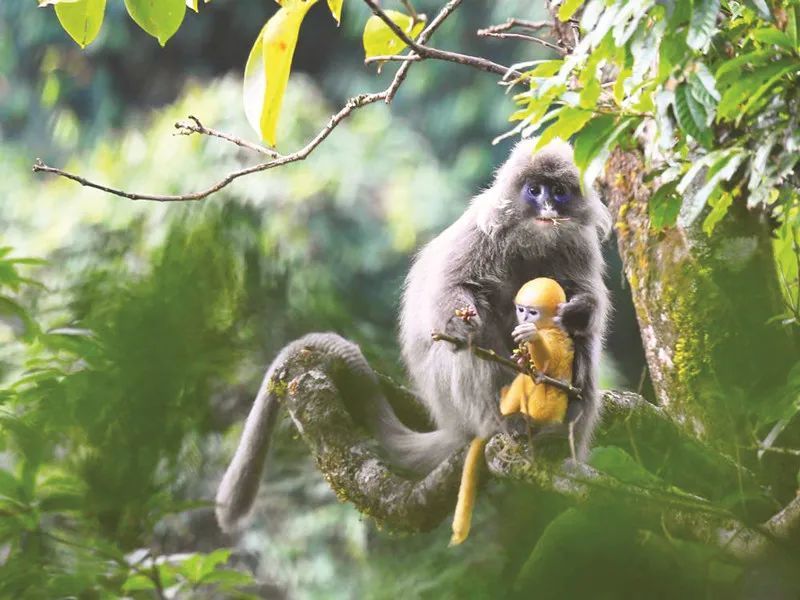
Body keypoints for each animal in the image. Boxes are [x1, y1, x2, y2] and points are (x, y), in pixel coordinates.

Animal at [216, 139, 608, 536]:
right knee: (469, 346)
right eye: (534, 190)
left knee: (583, 345)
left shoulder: (579, 247)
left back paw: (559, 437)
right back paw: (507, 424)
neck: (533, 242)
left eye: (558, 192)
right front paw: (466, 322)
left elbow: (588, 308)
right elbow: (452, 290)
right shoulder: (481, 231)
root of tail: (454, 422)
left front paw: (576, 311)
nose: (547, 207)